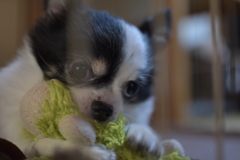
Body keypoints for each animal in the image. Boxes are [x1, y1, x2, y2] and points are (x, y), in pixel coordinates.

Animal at [0, 0, 172, 159]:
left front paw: (145, 134)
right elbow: (48, 144)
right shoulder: (20, 143)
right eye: (79, 70)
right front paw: (88, 151)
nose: (104, 108)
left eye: (131, 88)